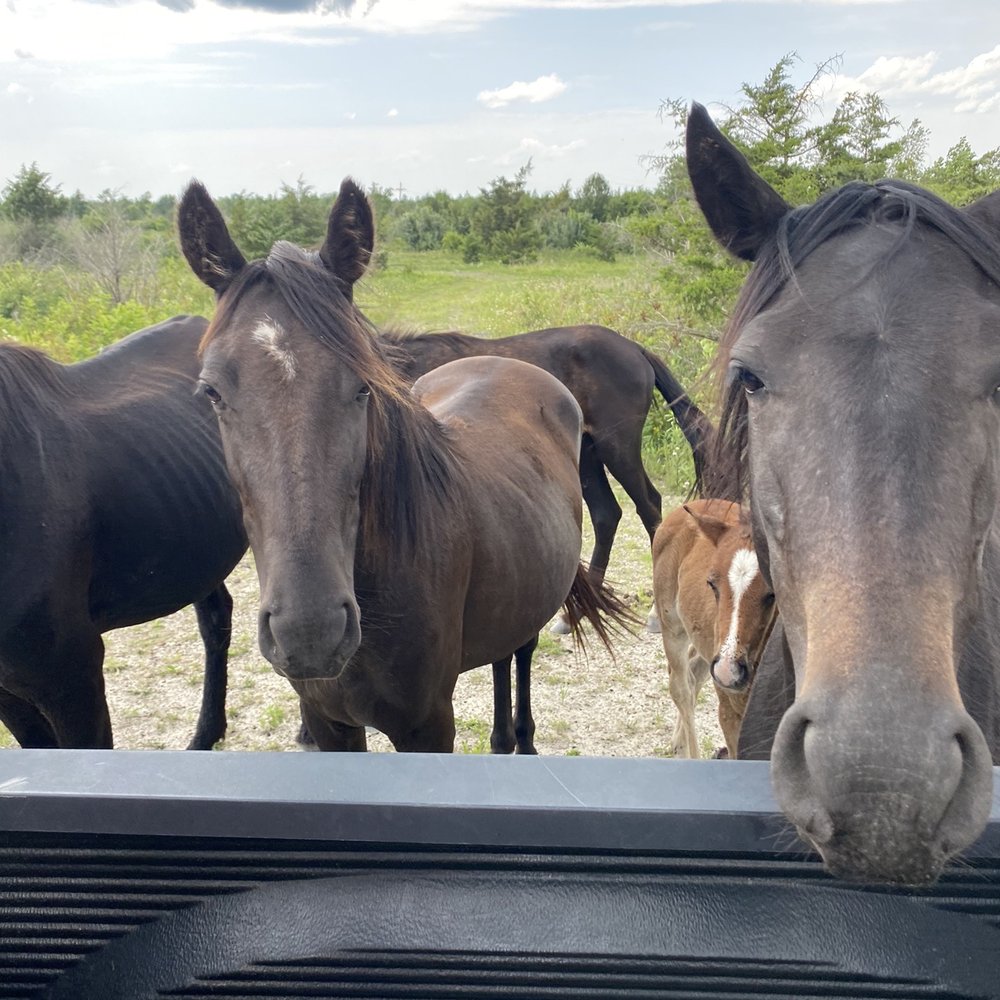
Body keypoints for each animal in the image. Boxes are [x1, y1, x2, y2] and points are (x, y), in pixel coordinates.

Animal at [177, 178, 630, 753]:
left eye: (364, 385)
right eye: (211, 392)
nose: (309, 631)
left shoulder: (427, 727)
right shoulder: (331, 724)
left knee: (521, 652)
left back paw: (522, 738)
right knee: (502, 656)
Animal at [651, 499, 775, 759]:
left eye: (772, 594)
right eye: (711, 583)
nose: (728, 671)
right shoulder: (730, 712)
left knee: (694, 672)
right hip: (673, 628)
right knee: (681, 687)